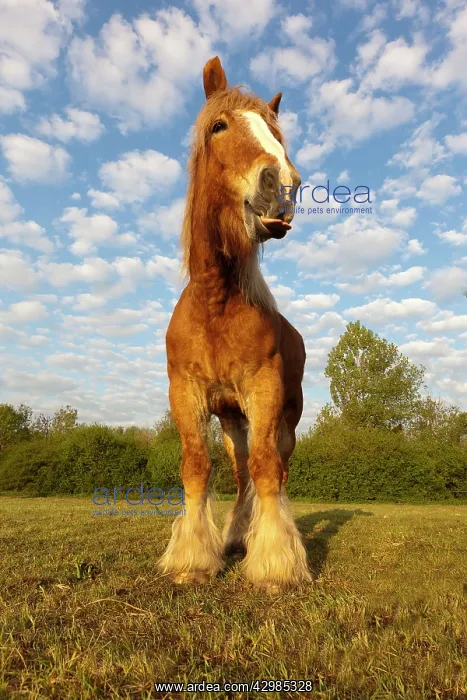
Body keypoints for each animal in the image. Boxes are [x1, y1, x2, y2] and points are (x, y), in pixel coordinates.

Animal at [158, 56, 311, 591]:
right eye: (219, 126)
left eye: (275, 132)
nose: (281, 183)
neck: (215, 302)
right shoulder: (186, 393)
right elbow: (196, 466)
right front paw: (192, 561)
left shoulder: (264, 391)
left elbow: (267, 468)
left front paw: (275, 566)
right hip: (231, 420)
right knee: (242, 473)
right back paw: (236, 535)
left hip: (285, 416)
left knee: (274, 469)